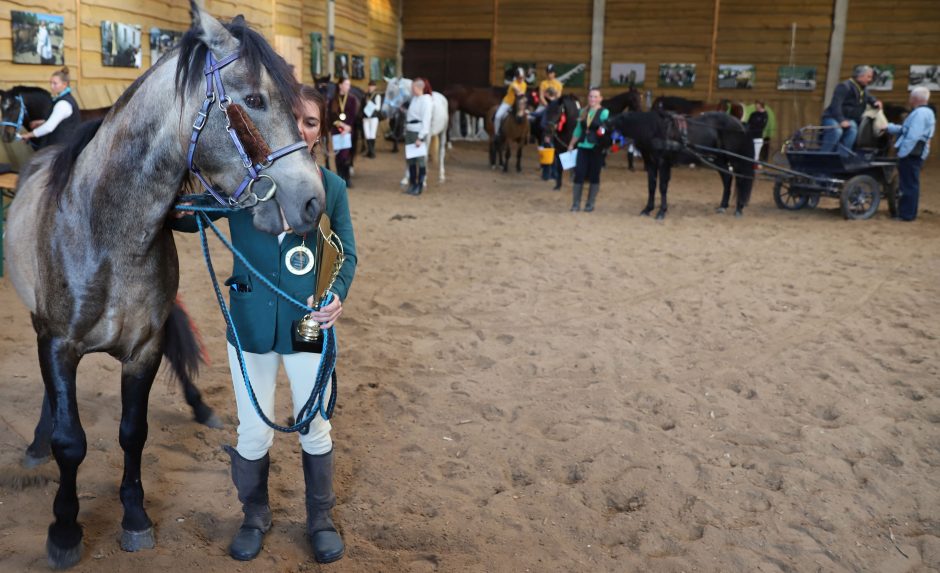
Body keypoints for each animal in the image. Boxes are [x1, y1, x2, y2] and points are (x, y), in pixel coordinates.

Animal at [2, 3, 324, 568]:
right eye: (255, 100)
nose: (314, 199)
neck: (106, 232)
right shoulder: (57, 344)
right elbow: (70, 441)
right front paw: (64, 529)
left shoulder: (143, 350)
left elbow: (134, 434)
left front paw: (134, 518)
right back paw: (37, 444)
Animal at [608, 110, 756, 218]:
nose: (604, 124)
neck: (655, 130)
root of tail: (740, 124)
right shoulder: (651, 163)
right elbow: (651, 186)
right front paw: (648, 209)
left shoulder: (663, 163)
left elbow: (662, 187)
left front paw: (661, 211)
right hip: (719, 159)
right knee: (727, 178)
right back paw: (723, 206)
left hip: (736, 159)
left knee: (740, 180)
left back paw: (739, 208)